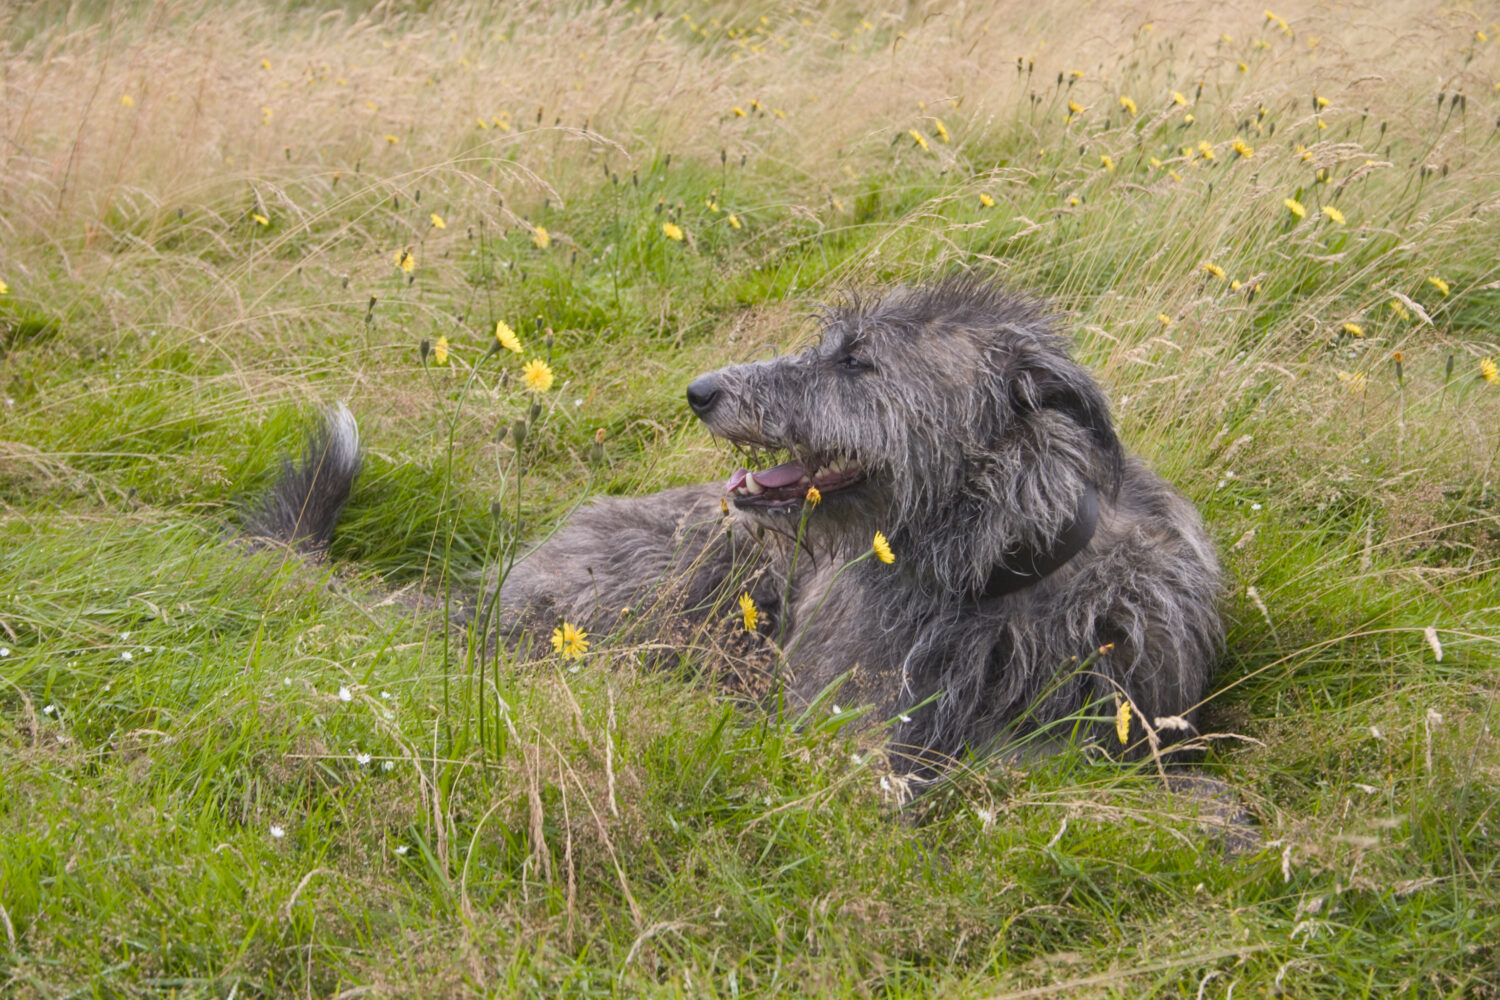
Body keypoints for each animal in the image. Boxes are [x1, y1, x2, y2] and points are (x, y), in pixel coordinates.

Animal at [252, 277, 1224, 773]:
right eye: (833, 344)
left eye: (859, 362)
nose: (701, 390)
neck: (989, 573)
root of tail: (491, 596)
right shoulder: (850, 723)